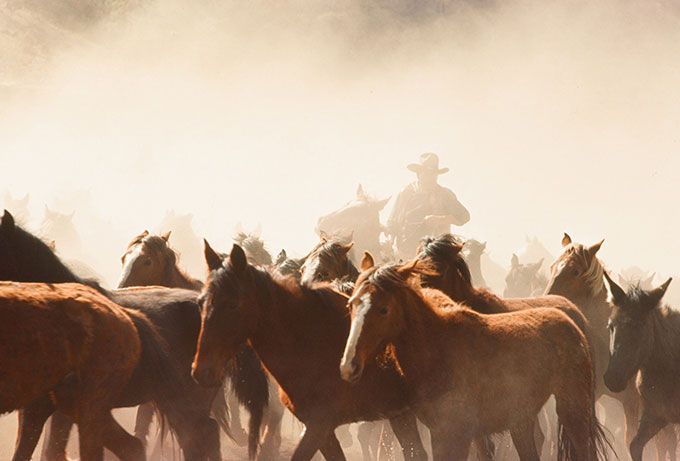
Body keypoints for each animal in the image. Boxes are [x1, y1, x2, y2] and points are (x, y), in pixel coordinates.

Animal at [340, 253, 612, 458]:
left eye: (383, 309)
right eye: (350, 304)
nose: (348, 366)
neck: (437, 346)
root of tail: (573, 323)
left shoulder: (456, 434)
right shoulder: (439, 433)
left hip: (573, 409)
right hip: (522, 419)